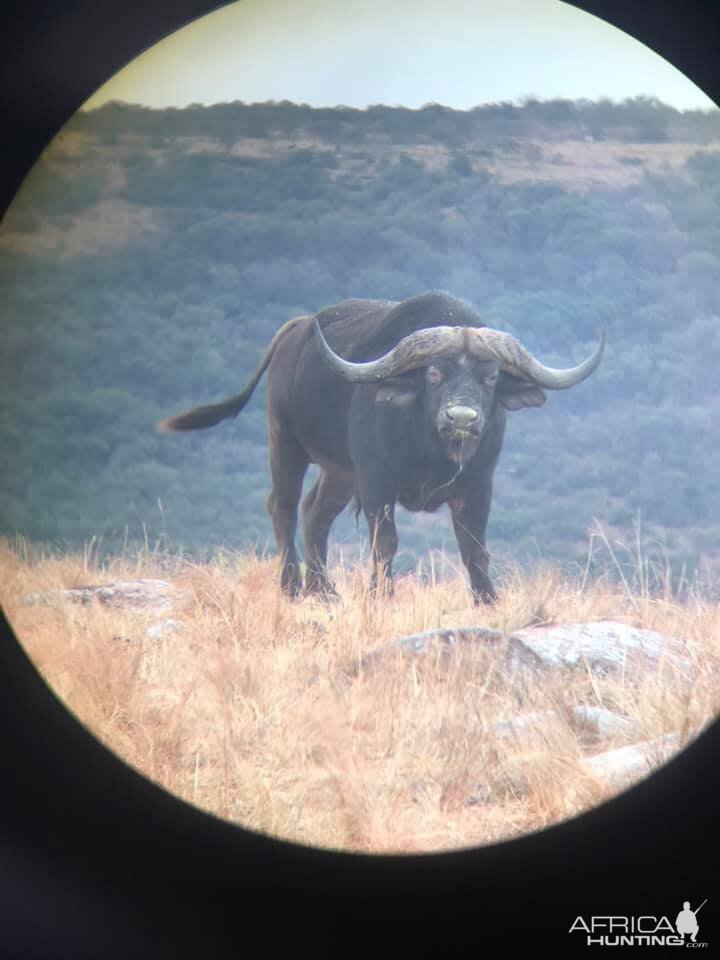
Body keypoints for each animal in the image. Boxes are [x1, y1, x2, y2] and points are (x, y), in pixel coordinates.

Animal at [160, 292, 604, 604]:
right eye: (434, 373)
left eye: (491, 377)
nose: (462, 418)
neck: (431, 452)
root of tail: (297, 332)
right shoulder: (376, 482)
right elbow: (385, 542)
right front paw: (380, 595)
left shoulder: (478, 484)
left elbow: (475, 548)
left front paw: (487, 600)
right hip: (285, 441)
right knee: (282, 506)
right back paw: (292, 587)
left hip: (339, 471)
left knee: (314, 511)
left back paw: (323, 590)